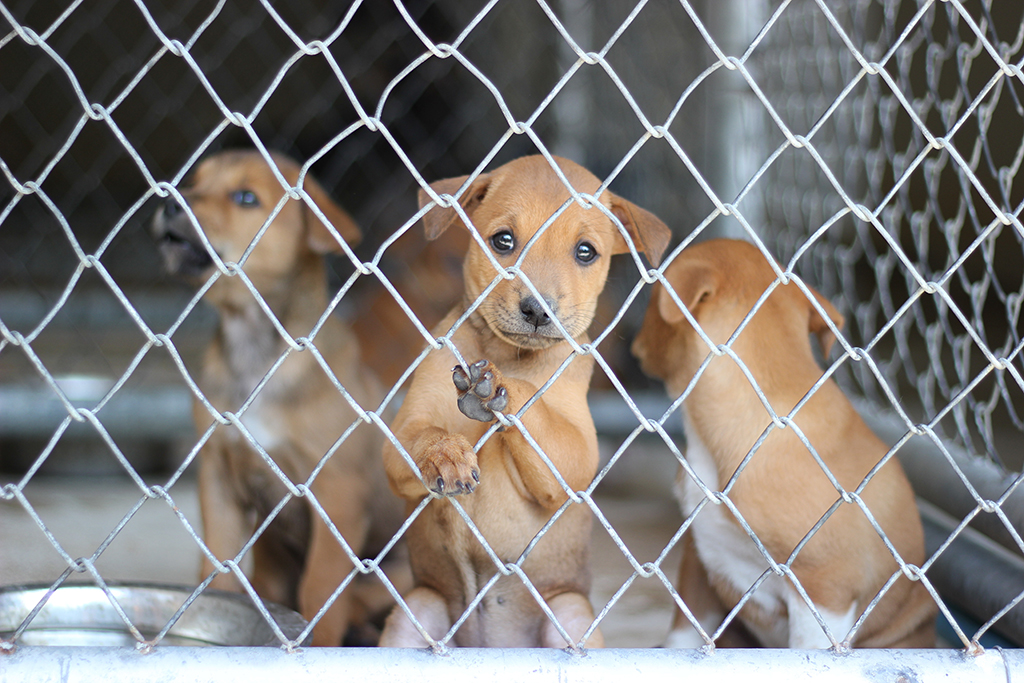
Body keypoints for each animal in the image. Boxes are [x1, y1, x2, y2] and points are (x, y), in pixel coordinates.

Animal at [150, 149, 403, 647]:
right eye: (195, 182)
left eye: (246, 197)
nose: (170, 203)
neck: (254, 348)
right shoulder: (218, 476)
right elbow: (218, 566)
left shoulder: (337, 492)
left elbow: (320, 590)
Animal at [376, 156, 671, 651]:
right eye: (503, 241)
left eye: (586, 252)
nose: (537, 310)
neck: (506, 352)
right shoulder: (403, 432)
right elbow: (425, 435)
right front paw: (447, 454)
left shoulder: (577, 456)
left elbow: (533, 407)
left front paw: (497, 388)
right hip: (416, 610)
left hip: (570, 615)